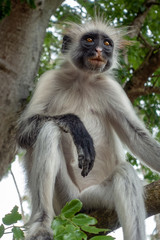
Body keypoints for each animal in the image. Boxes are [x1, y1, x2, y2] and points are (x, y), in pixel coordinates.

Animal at [17, 19, 160, 239]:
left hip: (93, 198)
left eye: (107, 43)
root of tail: (79, 200)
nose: (100, 50)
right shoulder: (50, 79)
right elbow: (22, 133)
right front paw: (77, 126)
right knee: (49, 130)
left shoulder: (111, 88)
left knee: (124, 174)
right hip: (66, 200)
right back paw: (41, 222)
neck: (82, 80)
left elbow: (137, 137)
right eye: (90, 40)